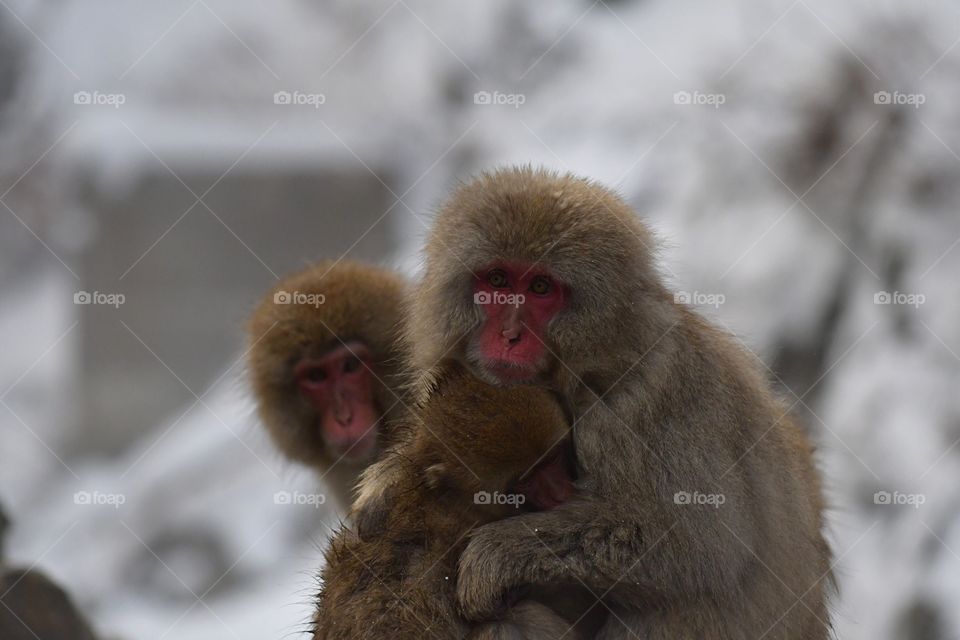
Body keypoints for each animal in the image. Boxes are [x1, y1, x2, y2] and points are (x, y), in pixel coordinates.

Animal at [354, 166, 833, 639]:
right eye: (497, 281)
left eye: (541, 287)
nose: (509, 336)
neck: (594, 364)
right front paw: (386, 483)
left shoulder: (643, 406)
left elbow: (697, 546)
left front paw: (494, 555)